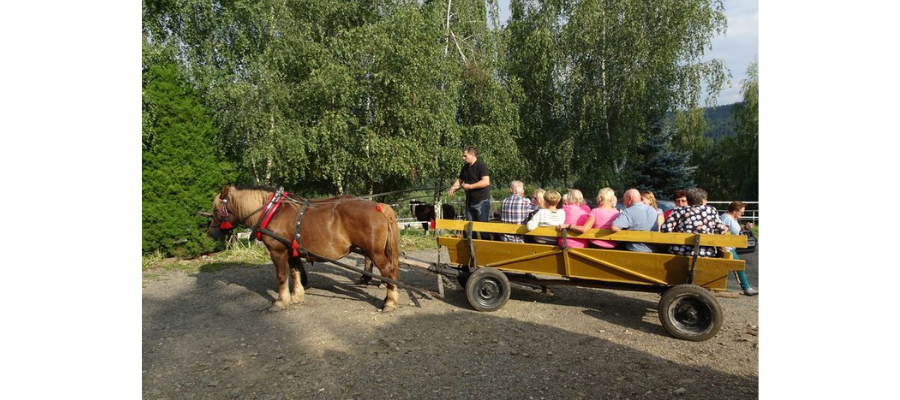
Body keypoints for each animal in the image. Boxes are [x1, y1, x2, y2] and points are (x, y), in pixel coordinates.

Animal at [209, 185, 400, 312]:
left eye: (216, 209)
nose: (211, 232)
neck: (272, 212)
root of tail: (378, 206)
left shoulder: (277, 251)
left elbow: (281, 276)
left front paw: (280, 301)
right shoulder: (291, 251)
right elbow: (295, 273)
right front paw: (296, 296)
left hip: (375, 252)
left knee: (388, 272)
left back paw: (390, 302)